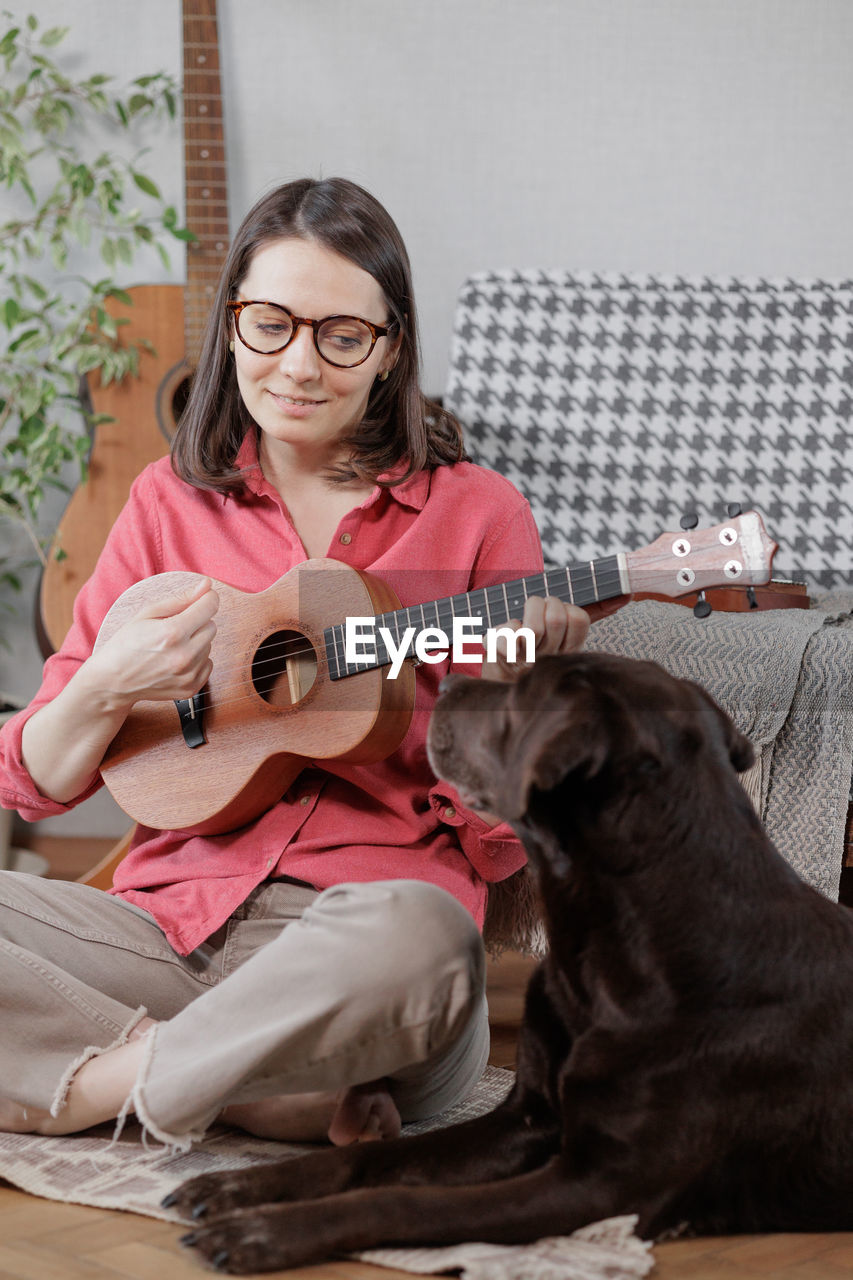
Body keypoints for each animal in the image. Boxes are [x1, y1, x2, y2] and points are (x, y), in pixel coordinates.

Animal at [162, 655, 850, 1274]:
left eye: (523, 689)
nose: (447, 681)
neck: (605, 951)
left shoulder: (603, 1185)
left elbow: (402, 1203)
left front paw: (266, 1231)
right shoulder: (523, 1120)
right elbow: (366, 1160)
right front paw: (241, 1187)